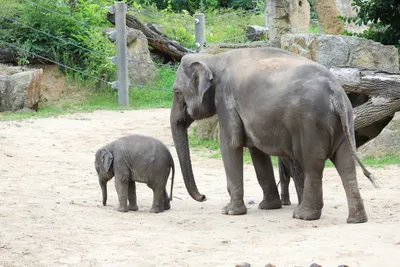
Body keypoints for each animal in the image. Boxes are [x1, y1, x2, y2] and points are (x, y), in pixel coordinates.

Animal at [170, 46, 380, 224]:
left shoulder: (225, 100)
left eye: (177, 93)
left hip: (311, 124)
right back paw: (356, 220)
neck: (214, 59)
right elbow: (257, 152)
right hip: (345, 122)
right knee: (346, 166)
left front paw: (229, 212)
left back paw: (303, 216)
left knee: (313, 164)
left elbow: (230, 145)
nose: (203, 196)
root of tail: (336, 93)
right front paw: (268, 207)